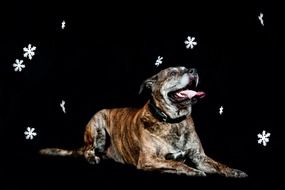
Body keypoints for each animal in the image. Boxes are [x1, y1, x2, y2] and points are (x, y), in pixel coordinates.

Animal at [39, 66, 246, 177]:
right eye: (172, 73)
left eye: (187, 68)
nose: (193, 70)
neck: (174, 122)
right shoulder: (148, 159)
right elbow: (178, 163)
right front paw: (191, 171)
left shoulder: (200, 157)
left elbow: (218, 165)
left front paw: (234, 171)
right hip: (97, 126)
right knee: (88, 150)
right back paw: (93, 157)